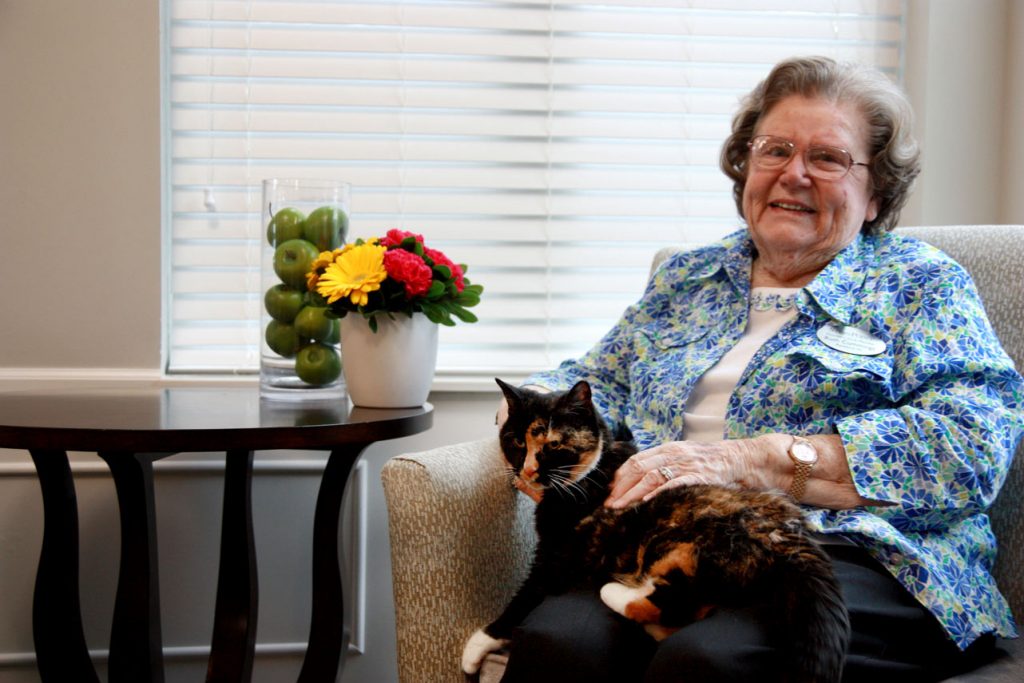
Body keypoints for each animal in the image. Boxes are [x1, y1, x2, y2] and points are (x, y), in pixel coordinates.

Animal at [462, 378, 847, 683]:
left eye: (554, 444)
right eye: (516, 440)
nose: (527, 470)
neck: (592, 472)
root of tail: (791, 535)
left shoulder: (559, 554)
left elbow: (526, 596)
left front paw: (478, 644)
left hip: (682, 537)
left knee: (676, 598)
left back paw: (617, 592)